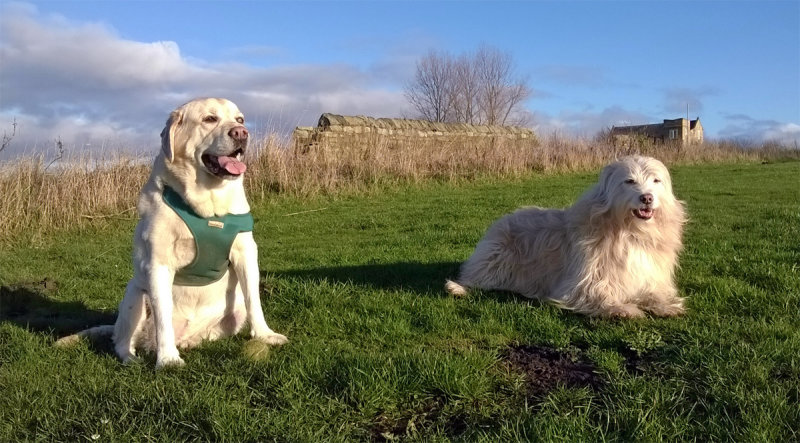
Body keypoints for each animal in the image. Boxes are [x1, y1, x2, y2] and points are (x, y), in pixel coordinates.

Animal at [444, 157, 688, 320]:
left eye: (656, 181)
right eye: (629, 181)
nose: (647, 198)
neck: (631, 231)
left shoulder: (648, 275)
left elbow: (653, 292)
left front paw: (666, 305)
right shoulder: (583, 283)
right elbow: (600, 294)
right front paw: (623, 309)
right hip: (496, 259)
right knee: (476, 279)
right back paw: (458, 288)